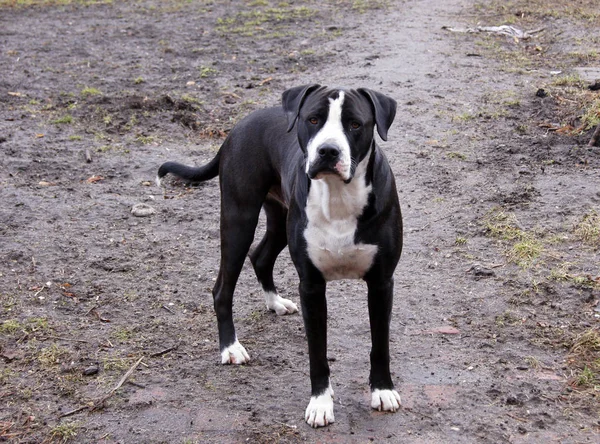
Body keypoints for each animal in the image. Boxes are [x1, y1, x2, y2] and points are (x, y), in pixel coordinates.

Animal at [158, 85, 404, 428]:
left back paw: (274, 302)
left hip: (278, 218)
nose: (328, 151)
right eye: (313, 119)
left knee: (260, 256)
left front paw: (382, 390)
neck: (338, 196)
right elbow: (317, 351)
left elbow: (380, 343)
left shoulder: (381, 283)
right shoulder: (311, 286)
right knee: (222, 287)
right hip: (239, 218)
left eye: (355, 124)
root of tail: (238, 127)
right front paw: (320, 403)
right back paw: (230, 348)